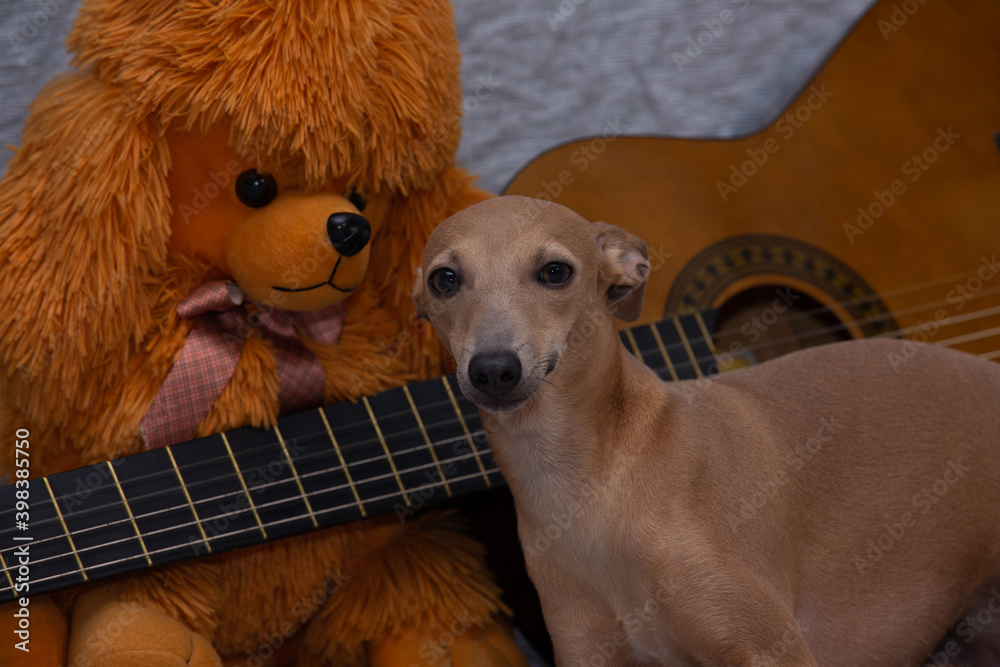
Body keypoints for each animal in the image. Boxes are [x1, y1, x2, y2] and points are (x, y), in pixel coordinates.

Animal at [412, 194, 1000, 667]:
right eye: (444, 279)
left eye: (555, 271)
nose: (493, 370)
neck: (589, 492)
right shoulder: (588, 650)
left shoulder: (767, 649)